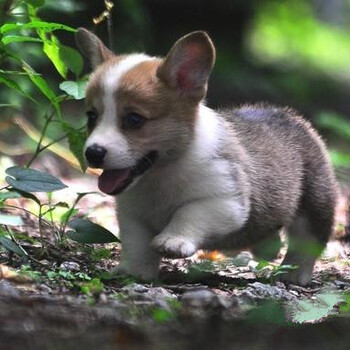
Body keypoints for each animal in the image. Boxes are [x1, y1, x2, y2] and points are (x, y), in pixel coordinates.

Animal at [76, 27, 336, 284]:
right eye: (91, 116)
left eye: (134, 119)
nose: (93, 153)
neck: (161, 172)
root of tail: (291, 116)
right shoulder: (132, 216)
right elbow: (136, 245)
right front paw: (134, 272)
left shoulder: (226, 201)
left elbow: (189, 212)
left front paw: (173, 240)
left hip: (315, 203)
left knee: (308, 241)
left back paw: (294, 273)